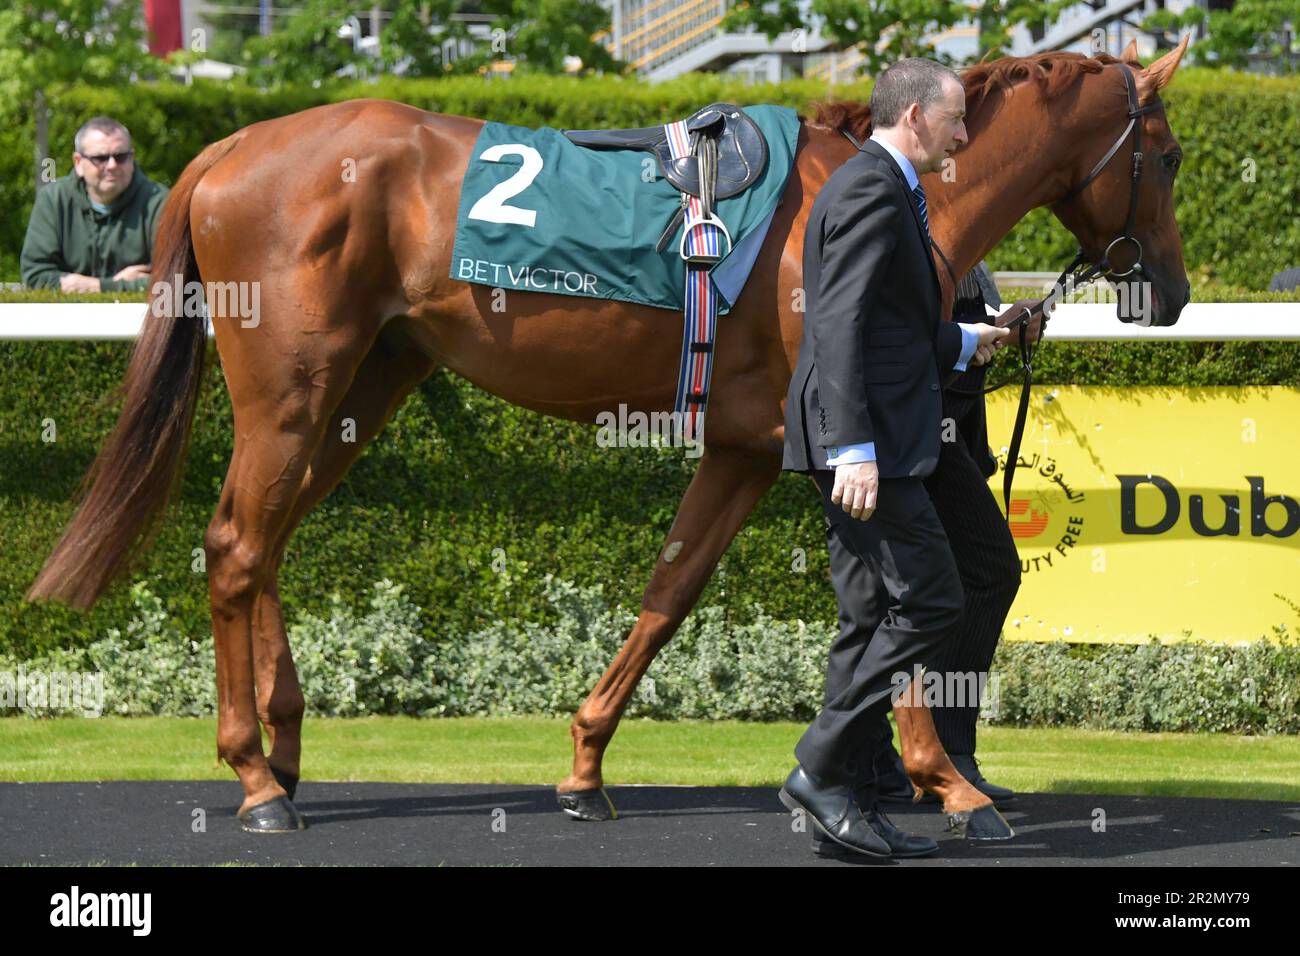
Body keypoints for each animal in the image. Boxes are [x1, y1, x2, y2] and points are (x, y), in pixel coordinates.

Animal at [30, 41, 1190, 832]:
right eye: (1171, 157)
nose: (1170, 294)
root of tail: (228, 147)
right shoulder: (837, 448)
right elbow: (901, 598)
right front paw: (943, 781)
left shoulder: (745, 448)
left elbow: (673, 589)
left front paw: (587, 764)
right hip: (290, 389)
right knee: (234, 544)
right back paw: (254, 777)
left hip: (369, 382)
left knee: (266, 542)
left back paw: (285, 745)